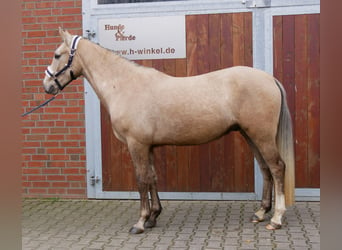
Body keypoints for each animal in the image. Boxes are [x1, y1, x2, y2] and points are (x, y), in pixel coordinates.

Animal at [42, 28, 294, 233]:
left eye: (57, 55)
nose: (47, 86)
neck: (124, 85)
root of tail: (269, 79)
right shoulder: (148, 146)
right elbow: (152, 177)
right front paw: (154, 217)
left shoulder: (137, 144)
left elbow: (141, 180)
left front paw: (140, 222)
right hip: (250, 135)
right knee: (265, 169)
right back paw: (260, 213)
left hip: (262, 136)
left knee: (277, 168)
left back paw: (276, 219)